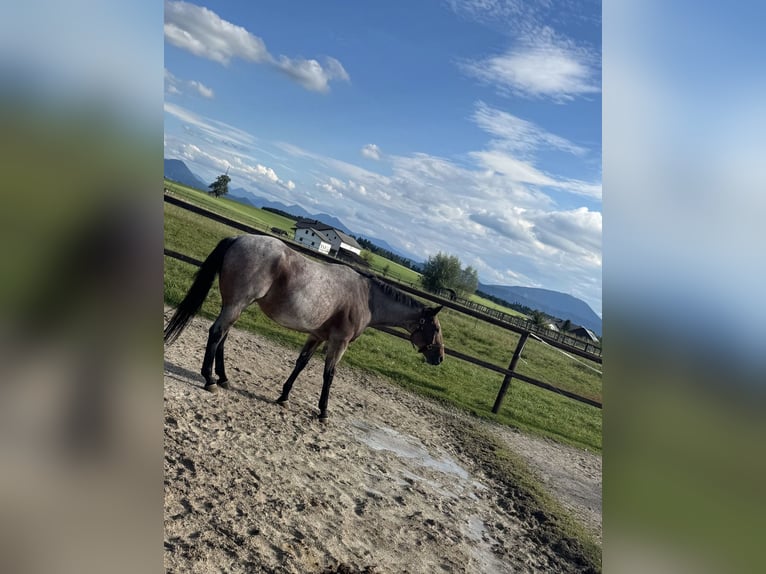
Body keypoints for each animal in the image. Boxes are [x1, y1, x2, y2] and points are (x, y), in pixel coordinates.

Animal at [164, 234, 444, 421]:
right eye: (436, 329)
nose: (439, 357)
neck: (366, 298)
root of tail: (238, 238)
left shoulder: (317, 336)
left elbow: (301, 364)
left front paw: (284, 397)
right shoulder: (338, 342)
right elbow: (329, 375)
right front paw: (323, 411)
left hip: (234, 306)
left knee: (223, 337)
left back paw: (223, 378)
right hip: (236, 304)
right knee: (216, 333)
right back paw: (210, 379)